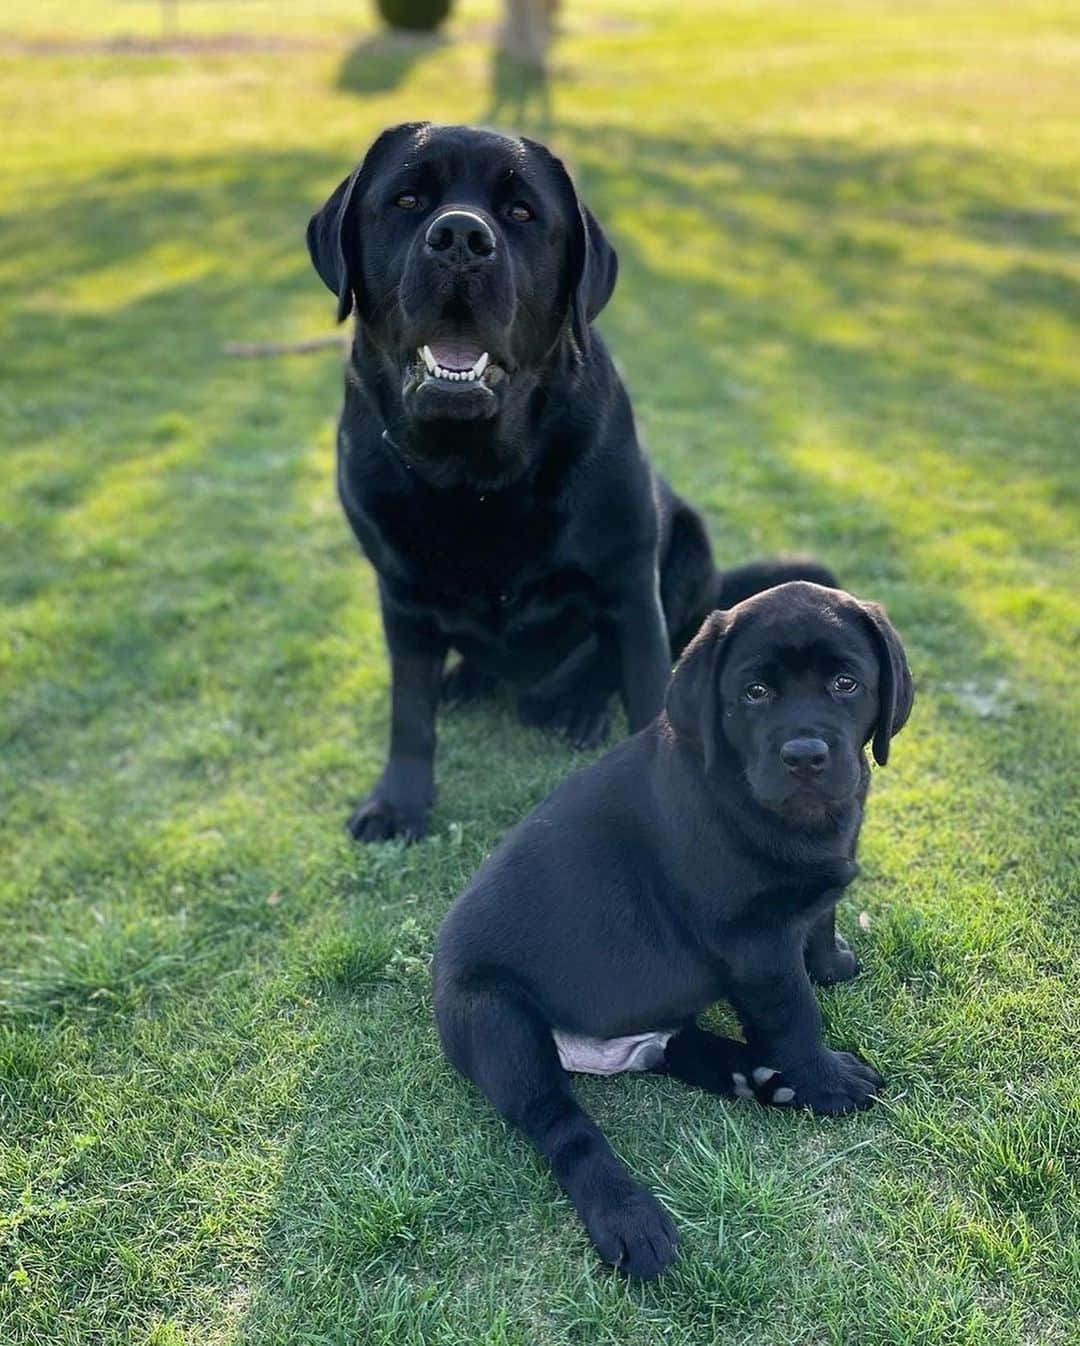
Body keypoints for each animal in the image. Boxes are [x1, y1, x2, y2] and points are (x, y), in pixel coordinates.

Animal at [305, 126, 834, 839]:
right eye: (408, 200)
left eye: (522, 212)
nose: (461, 237)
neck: (473, 474)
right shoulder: (401, 597)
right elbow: (409, 712)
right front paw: (398, 803)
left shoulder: (630, 581)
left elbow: (646, 685)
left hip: (689, 543)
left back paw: (577, 708)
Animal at [428, 584, 910, 1276]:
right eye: (754, 693)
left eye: (847, 683)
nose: (805, 757)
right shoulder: (756, 944)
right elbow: (795, 1014)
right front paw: (826, 1081)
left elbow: (822, 914)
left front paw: (832, 965)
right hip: (496, 1021)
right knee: (561, 1126)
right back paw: (629, 1217)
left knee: (667, 1048)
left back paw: (755, 1077)